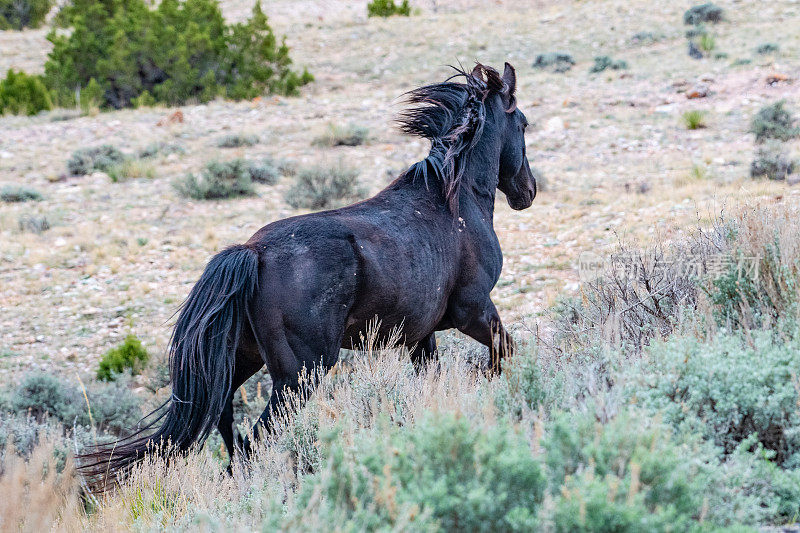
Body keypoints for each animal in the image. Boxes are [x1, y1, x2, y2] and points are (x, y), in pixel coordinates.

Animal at [78, 62, 536, 486]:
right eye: (523, 123)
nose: (527, 192)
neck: (454, 200)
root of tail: (253, 254)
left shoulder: (420, 336)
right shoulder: (473, 311)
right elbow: (504, 355)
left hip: (246, 359)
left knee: (228, 426)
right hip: (300, 374)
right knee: (259, 437)